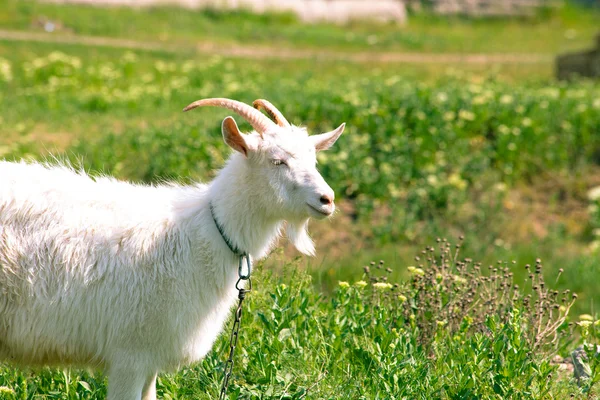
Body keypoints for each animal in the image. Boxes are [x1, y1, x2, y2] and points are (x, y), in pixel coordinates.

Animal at [0, 97, 344, 400]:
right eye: (277, 161)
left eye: (314, 160)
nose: (327, 199)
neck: (203, 233)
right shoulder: (129, 355)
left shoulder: (150, 359)